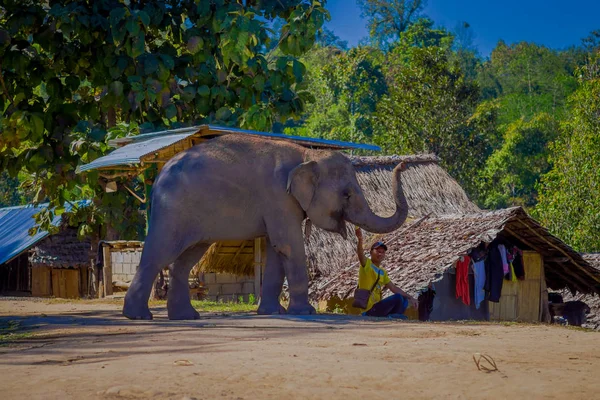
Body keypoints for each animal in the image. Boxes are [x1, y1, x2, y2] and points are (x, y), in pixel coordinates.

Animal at [122, 133, 408, 320]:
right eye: (347, 195)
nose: (402, 164)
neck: (308, 155)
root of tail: (157, 177)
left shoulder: (280, 204)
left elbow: (276, 249)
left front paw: (273, 312)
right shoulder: (278, 197)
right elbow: (289, 246)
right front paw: (305, 312)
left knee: (186, 258)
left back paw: (186, 317)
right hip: (173, 210)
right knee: (160, 254)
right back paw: (139, 317)